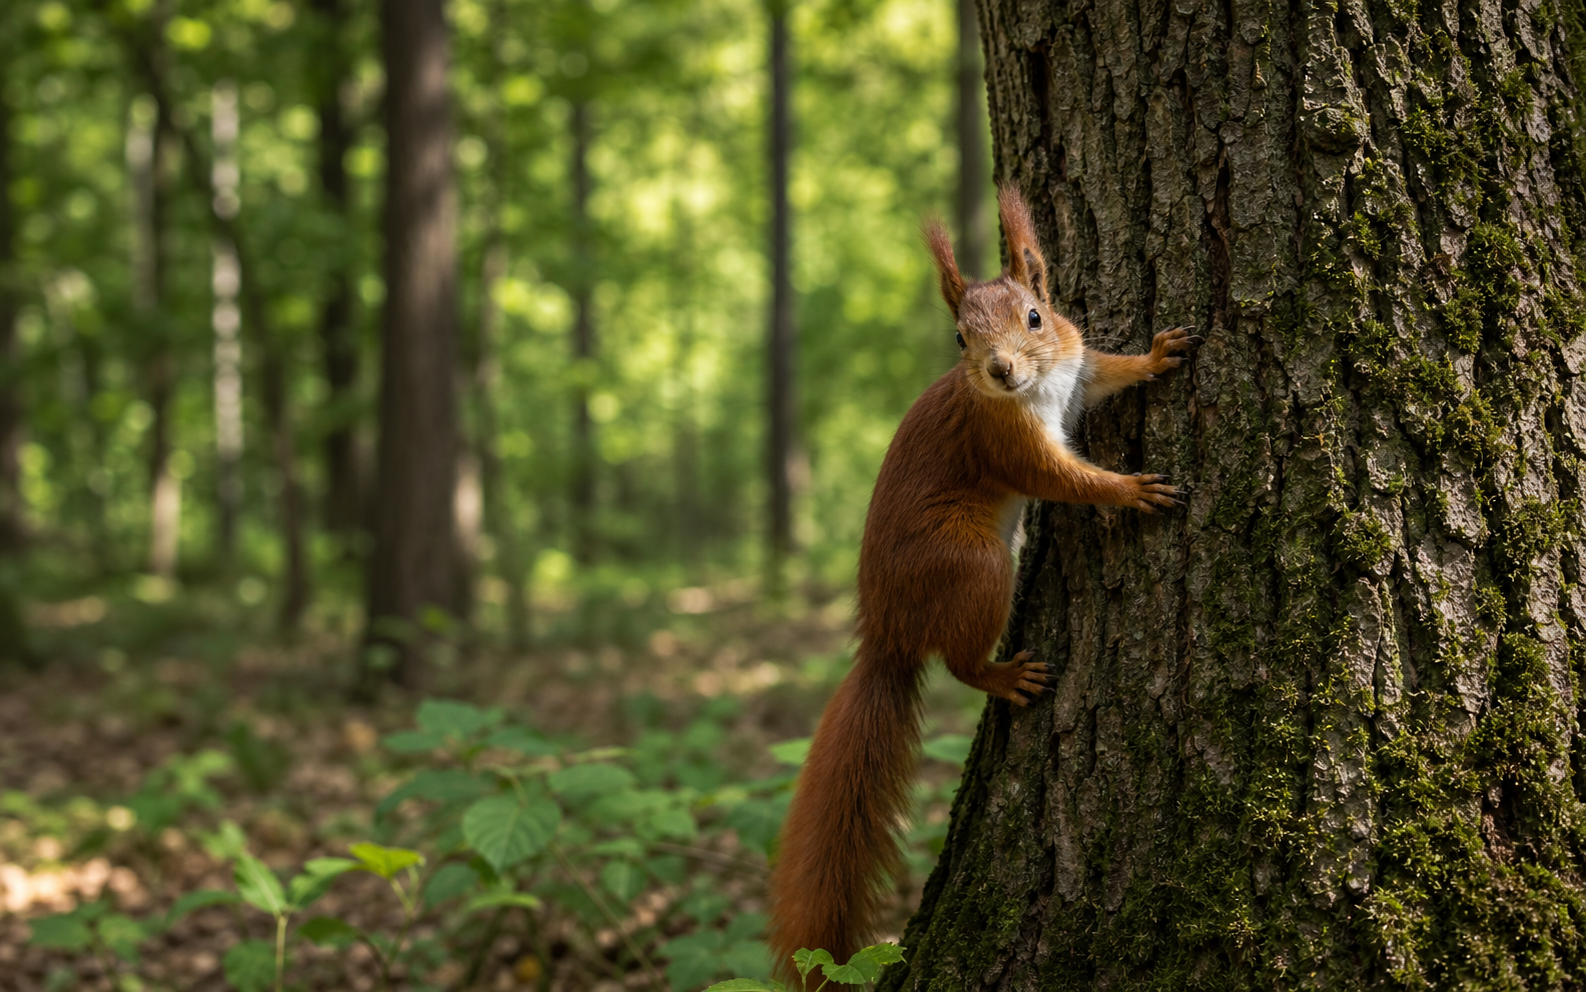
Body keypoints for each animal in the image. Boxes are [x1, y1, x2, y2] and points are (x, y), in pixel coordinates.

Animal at [765, 185, 1197, 971]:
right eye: (960, 339)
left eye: (1035, 317)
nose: (1000, 370)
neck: (1038, 387)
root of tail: (888, 635)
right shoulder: (1007, 445)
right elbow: (1063, 480)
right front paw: (1129, 491)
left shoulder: (1076, 372)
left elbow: (1108, 372)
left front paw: (1155, 354)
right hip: (974, 567)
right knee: (960, 662)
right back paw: (1003, 676)